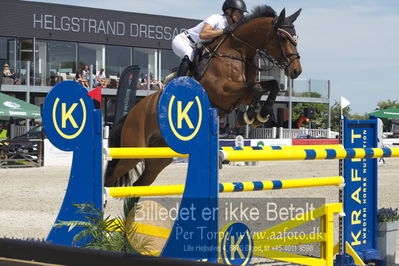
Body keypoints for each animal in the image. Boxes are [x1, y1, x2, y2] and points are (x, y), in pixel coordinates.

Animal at [105, 5, 304, 186]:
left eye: (296, 38)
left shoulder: (240, 93)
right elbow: (255, 88)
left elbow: (270, 85)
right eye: (283, 37)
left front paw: (257, 114)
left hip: (159, 156)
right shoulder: (223, 93)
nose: (296, 71)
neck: (237, 52)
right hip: (132, 151)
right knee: (111, 178)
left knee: (139, 184)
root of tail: (129, 115)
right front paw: (252, 113)